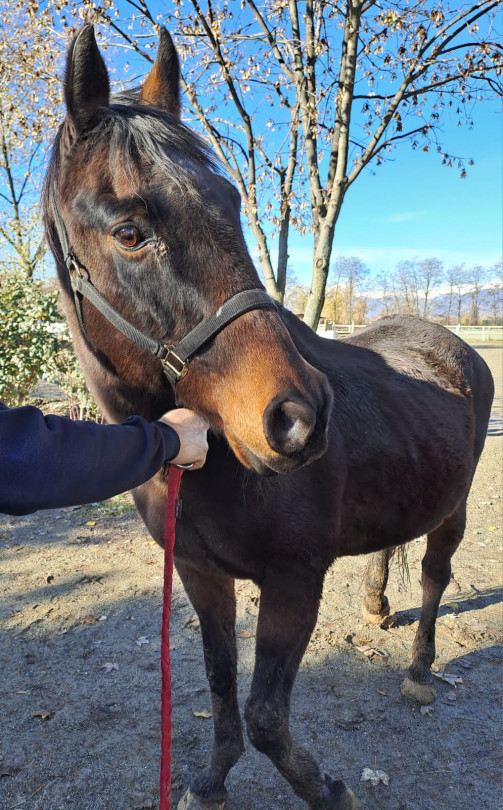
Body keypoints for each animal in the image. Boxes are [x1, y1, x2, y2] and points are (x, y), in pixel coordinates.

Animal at [42, 23, 492, 808]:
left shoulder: (292, 582)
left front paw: (327, 790)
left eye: (229, 200)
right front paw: (210, 780)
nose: (300, 418)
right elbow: (222, 684)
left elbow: (264, 714)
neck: (212, 465)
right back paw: (376, 605)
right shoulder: (199, 573)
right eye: (129, 231)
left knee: (436, 576)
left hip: (455, 506)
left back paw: (416, 671)